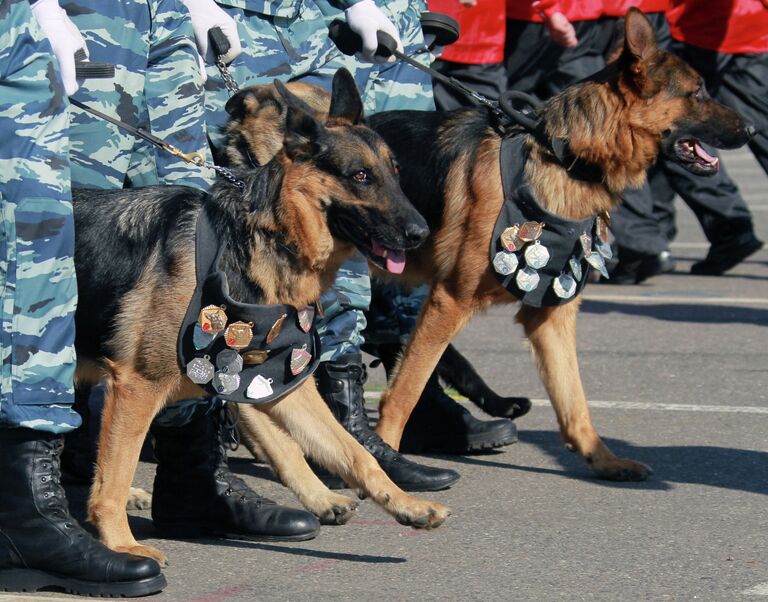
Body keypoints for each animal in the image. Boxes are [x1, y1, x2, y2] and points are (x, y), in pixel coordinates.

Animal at [72, 69, 450, 564]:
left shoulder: (273, 383)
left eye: (394, 173)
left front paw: (404, 504)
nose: (421, 233)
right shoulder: (137, 386)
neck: (258, 236)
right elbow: (114, 476)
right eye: (360, 176)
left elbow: (347, 450)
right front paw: (120, 544)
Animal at [231, 9, 752, 488]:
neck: (564, 156)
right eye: (698, 92)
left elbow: (574, 401)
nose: (749, 131)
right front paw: (389, 463)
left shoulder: (551, 316)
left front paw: (602, 460)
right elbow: (404, 392)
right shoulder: (449, 300)